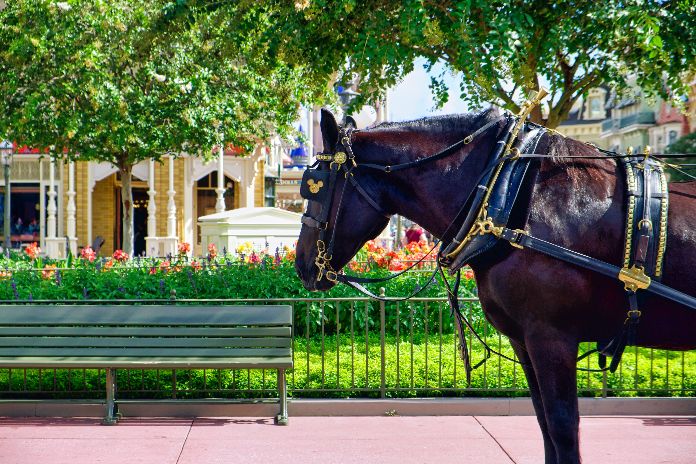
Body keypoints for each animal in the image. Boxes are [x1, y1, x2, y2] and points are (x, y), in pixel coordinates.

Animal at [294, 107, 696, 462]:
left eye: (314, 188)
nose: (300, 264)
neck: (507, 196)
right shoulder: (525, 340)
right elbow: (545, 425)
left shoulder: (552, 338)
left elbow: (563, 427)